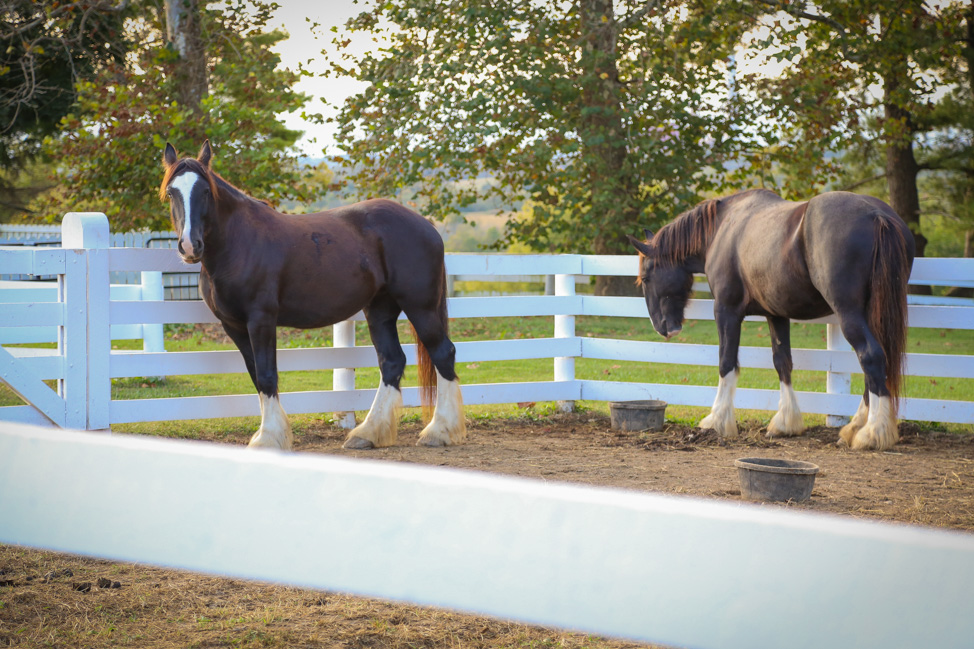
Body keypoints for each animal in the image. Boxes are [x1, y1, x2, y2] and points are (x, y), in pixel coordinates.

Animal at [160, 139, 466, 448]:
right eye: (172, 192)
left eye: (205, 191)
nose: (190, 246)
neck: (239, 243)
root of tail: (426, 225)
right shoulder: (233, 326)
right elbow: (256, 376)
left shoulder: (261, 320)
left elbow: (267, 375)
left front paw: (269, 437)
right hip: (380, 310)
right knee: (392, 362)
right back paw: (368, 433)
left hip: (421, 306)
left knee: (442, 353)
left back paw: (439, 431)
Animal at [632, 187, 916, 450]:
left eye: (645, 278)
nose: (663, 328)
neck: (723, 228)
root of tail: (876, 214)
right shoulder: (776, 314)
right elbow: (782, 362)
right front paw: (785, 423)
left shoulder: (726, 311)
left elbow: (726, 362)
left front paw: (717, 421)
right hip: (871, 313)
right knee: (875, 362)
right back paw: (855, 427)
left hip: (849, 313)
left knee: (871, 356)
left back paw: (873, 433)